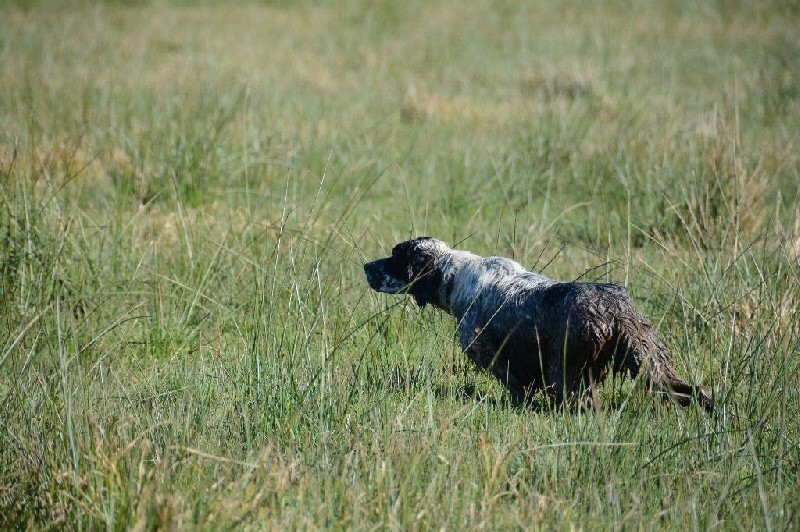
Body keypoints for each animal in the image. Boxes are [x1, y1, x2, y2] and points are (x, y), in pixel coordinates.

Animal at [362, 237, 712, 412]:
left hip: (568, 373)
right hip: (651, 359)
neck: (454, 276)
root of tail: (615, 309)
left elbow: (517, 388)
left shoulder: (488, 353)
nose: (366, 266)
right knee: (693, 391)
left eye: (395, 256)